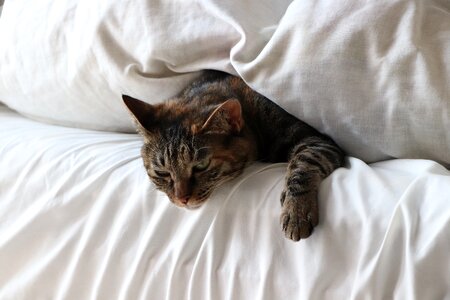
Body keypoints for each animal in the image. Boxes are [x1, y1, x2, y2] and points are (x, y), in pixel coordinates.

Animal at [123, 71, 344, 243]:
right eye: (162, 172)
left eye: (201, 165)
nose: (182, 199)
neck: (254, 121)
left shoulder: (319, 140)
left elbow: (302, 164)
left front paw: (296, 211)